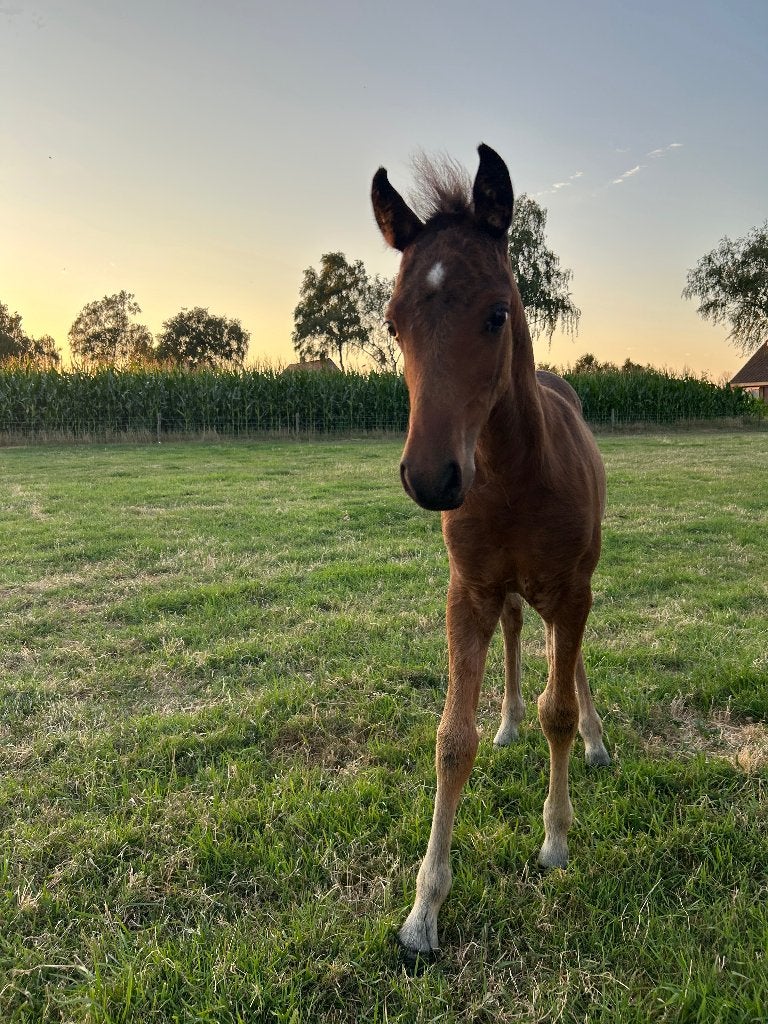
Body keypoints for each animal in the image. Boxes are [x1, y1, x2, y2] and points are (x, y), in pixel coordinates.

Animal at [370, 144, 610, 962]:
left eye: (497, 313)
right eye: (393, 323)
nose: (430, 476)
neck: (511, 477)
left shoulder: (570, 590)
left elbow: (559, 708)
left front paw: (557, 840)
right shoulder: (467, 592)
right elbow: (452, 740)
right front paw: (423, 912)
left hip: (573, 587)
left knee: (570, 664)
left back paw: (595, 740)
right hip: (508, 593)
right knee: (517, 636)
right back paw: (508, 721)